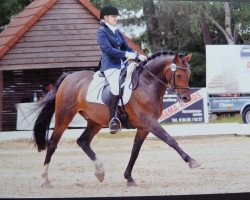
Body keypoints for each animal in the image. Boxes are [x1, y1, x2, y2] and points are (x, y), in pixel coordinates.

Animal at [33, 50, 201, 188]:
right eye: (178, 75)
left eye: (189, 74)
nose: (186, 98)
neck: (147, 83)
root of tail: (69, 76)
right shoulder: (149, 122)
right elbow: (170, 140)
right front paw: (192, 161)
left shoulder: (144, 127)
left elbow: (135, 151)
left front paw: (129, 178)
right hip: (64, 116)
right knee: (52, 143)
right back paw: (45, 179)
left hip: (95, 122)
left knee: (83, 141)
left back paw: (100, 172)